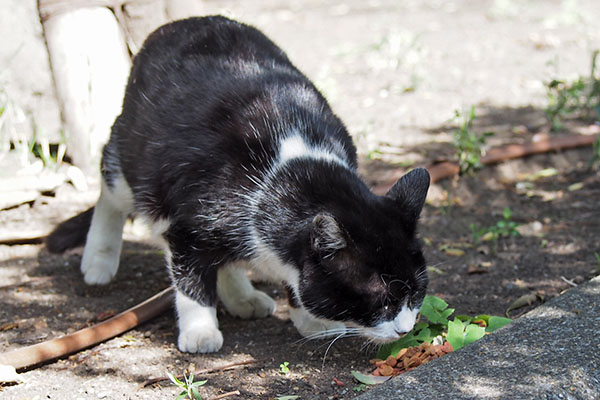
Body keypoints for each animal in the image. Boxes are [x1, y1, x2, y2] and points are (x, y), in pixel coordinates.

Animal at [48, 16, 432, 354]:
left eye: (416, 293)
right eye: (382, 300)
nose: (405, 329)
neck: (287, 171)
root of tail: (183, 23)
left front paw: (310, 320)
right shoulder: (185, 223)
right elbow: (190, 279)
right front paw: (200, 331)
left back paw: (242, 296)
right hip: (132, 153)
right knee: (110, 187)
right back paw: (99, 259)